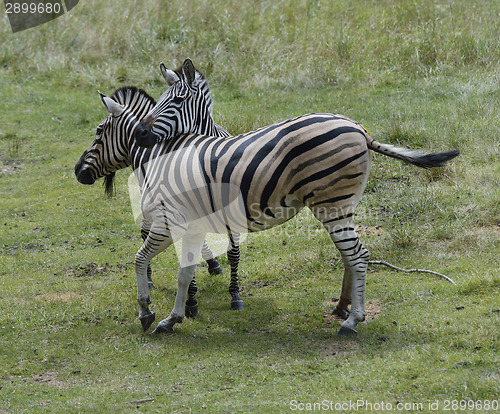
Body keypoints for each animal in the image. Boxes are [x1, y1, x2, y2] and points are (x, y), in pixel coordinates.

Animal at [130, 59, 460, 336]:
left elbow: (142, 258)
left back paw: (353, 320)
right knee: (349, 255)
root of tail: (358, 129)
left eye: (176, 101)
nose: (139, 133)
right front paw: (174, 316)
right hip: (340, 204)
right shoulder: (194, 224)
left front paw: (148, 310)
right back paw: (342, 307)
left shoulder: (173, 220)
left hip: (332, 204)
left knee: (358, 255)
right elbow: (185, 272)